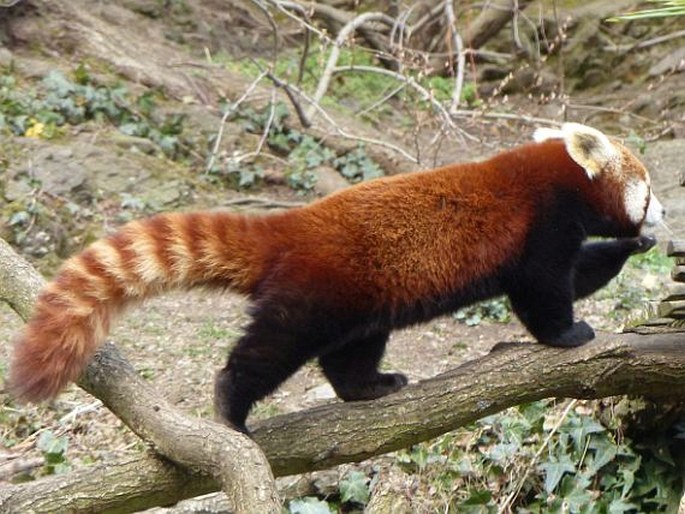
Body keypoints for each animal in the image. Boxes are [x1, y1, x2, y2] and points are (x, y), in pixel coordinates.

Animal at [8, 124, 664, 432]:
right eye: (650, 186)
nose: (661, 213)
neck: (558, 176)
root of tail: (292, 227)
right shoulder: (540, 223)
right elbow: (544, 290)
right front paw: (568, 335)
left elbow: (578, 273)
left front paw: (630, 248)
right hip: (316, 292)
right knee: (270, 349)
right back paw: (231, 405)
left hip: (368, 298)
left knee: (350, 352)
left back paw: (370, 386)